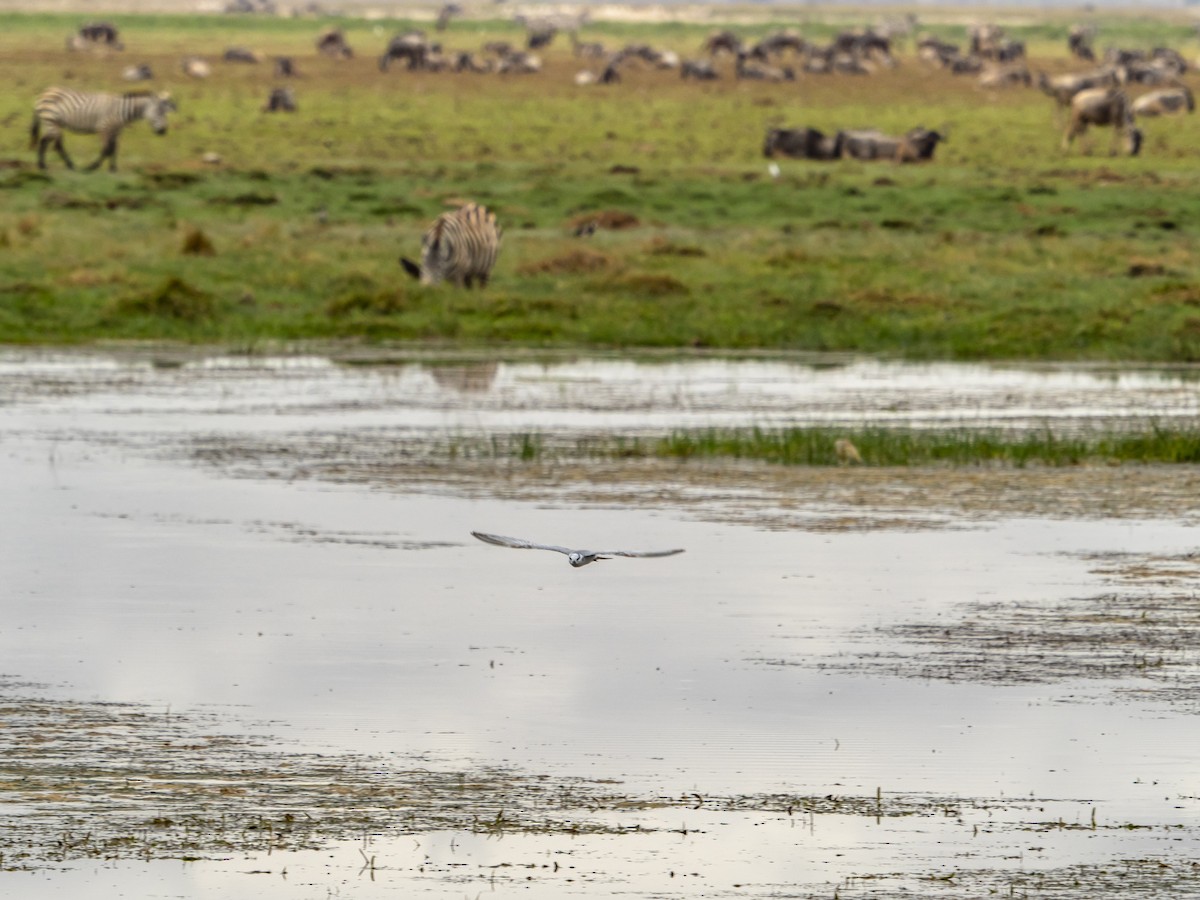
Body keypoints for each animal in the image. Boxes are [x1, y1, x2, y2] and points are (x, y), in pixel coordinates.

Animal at [31, 87, 175, 174]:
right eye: (160, 112)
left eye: (166, 112)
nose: (163, 131)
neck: (121, 111)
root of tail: (45, 92)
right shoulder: (104, 128)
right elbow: (106, 149)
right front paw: (91, 167)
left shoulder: (116, 131)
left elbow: (114, 149)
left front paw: (113, 169)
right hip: (51, 121)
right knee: (57, 144)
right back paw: (70, 165)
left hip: (52, 123)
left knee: (44, 141)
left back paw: (42, 165)